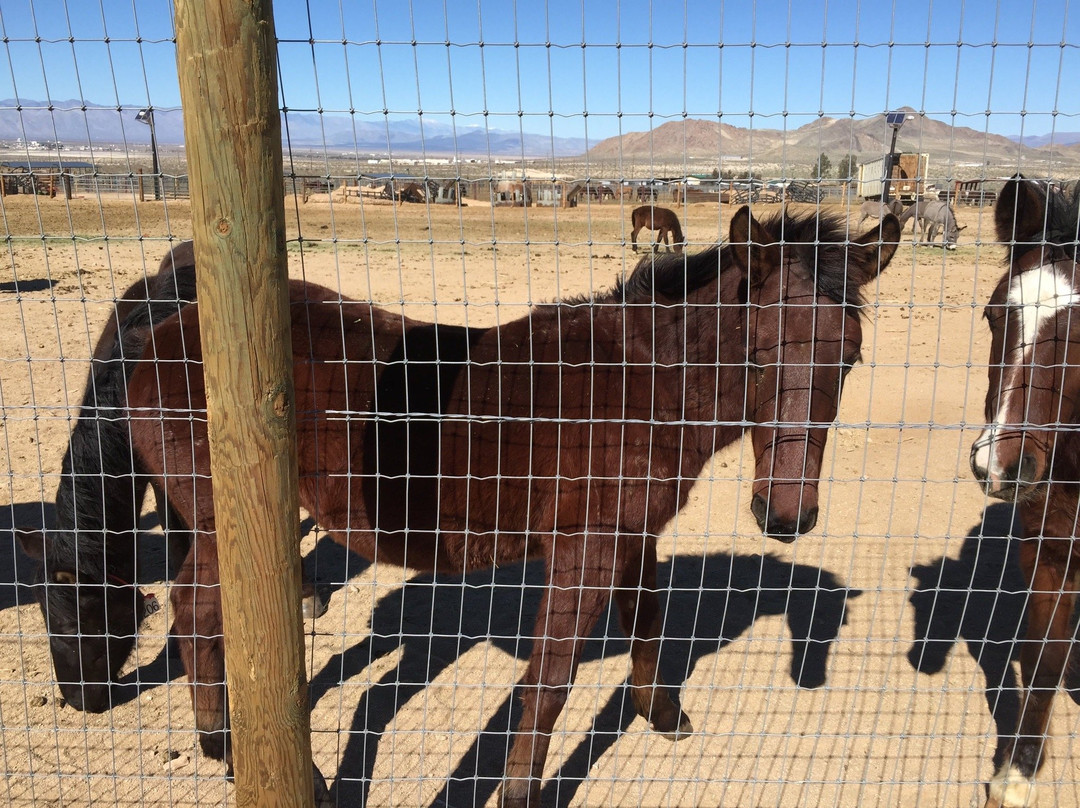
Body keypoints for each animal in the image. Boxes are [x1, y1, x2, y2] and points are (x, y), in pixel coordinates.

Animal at [25, 206, 900, 807]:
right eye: (757, 354)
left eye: (851, 359)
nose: (786, 516)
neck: (641, 381)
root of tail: (165, 327)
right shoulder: (584, 548)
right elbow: (549, 681)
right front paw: (519, 793)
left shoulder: (632, 536)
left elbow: (649, 619)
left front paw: (662, 715)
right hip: (222, 515)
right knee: (196, 608)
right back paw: (238, 752)